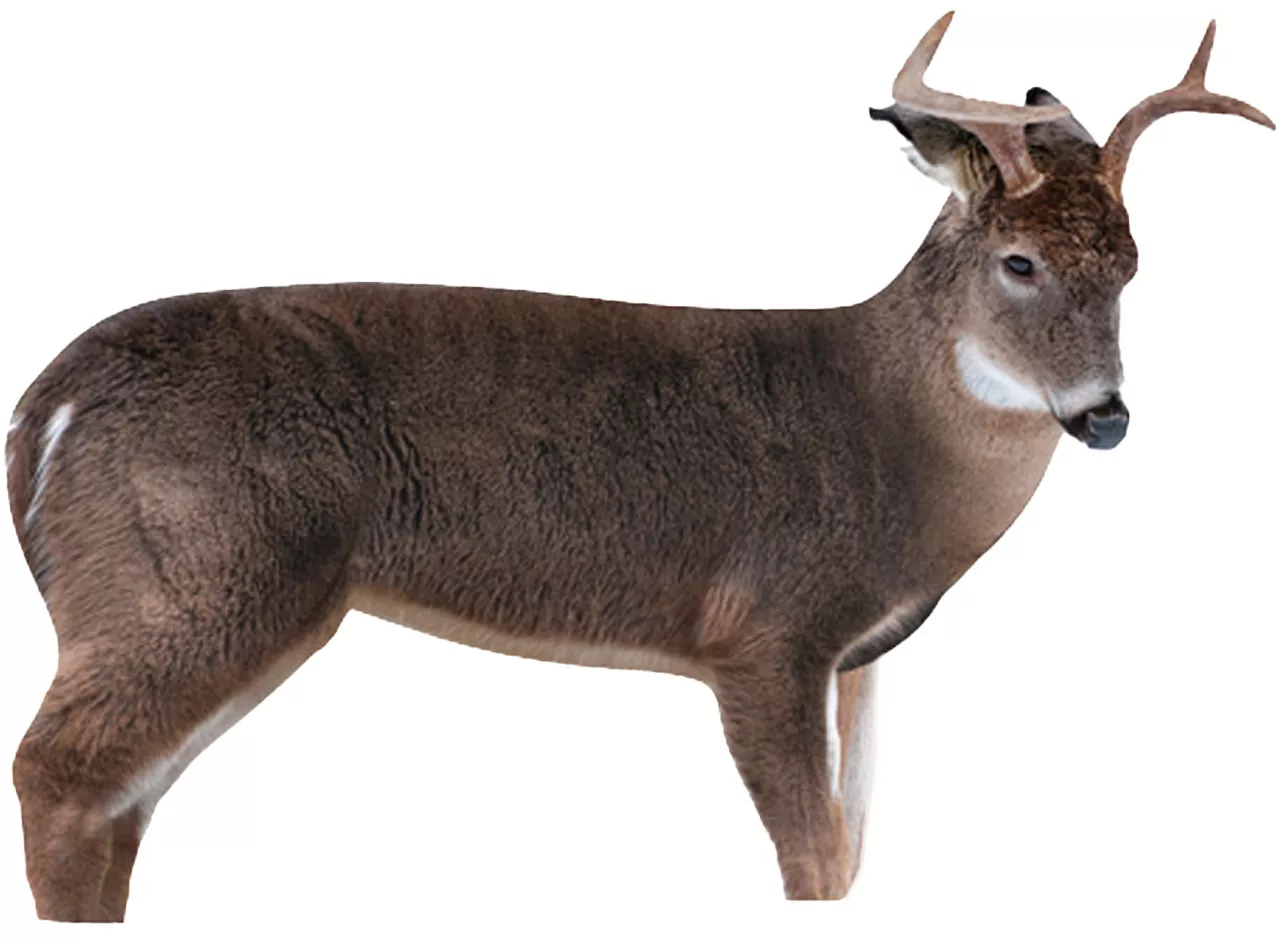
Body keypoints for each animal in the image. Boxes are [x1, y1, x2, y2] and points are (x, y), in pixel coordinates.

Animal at [4, 11, 1272, 921]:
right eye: (1017, 262)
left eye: (1132, 266)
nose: (1103, 416)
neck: (888, 434)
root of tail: (41, 410)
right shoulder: (762, 627)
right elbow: (813, 859)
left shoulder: (857, 655)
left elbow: (856, 855)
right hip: (196, 572)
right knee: (57, 773)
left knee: (117, 801)